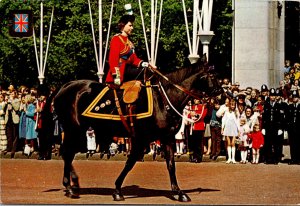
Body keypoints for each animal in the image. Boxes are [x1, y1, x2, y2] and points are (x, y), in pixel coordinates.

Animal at [41, 60, 220, 202]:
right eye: (212, 75)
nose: (221, 94)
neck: (164, 99)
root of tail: (63, 86)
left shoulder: (167, 137)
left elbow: (171, 165)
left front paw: (178, 192)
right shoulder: (142, 138)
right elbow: (130, 163)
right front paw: (117, 190)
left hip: (79, 130)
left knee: (68, 153)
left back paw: (73, 184)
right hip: (74, 129)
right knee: (67, 153)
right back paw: (70, 186)